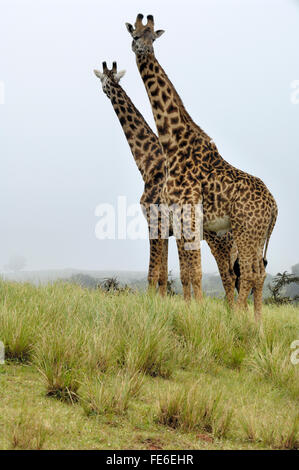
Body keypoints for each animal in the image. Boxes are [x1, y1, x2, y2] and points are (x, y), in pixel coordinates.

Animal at [96, 61, 241, 304]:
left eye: (106, 80)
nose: (107, 91)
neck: (148, 164)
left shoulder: (154, 221)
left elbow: (154, 273)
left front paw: (152, 304)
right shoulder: (167, 229)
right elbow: (166, 274)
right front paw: (166, 304)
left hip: (220, 242)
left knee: (230, 279)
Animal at [125, 13, 278, 320]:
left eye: (152, 37)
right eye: (135, 35)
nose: (142, 50)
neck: (173, 142)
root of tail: (275, 207)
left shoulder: (184, 210)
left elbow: (192, 271)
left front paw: (195, 314)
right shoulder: (177, 215)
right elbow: (187, 271)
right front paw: (191, 311)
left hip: (245, 232)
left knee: (248, 274)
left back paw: (239, 319)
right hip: (255, 235)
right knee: (257, 273)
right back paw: (256, 322)